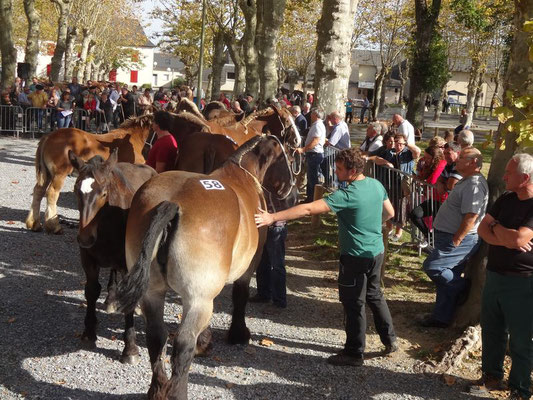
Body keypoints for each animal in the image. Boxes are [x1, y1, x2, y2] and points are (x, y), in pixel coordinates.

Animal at [25, 114, 154, 234]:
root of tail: (48, 136)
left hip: (47, 174)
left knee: (38, 191)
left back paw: (34, 224)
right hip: (59, 174)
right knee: (52, 193)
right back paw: (54, 226)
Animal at [67, 148, 157, 364]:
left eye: (104, 193)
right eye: (75, 190)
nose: (85, 237)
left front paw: (130, 348)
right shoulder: (88, 259)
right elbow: (91, 291)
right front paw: (89, 332)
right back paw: (110, 299)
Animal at [115, 135, 298, 400]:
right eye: (291, 158)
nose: (293, 196)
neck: (242, 176)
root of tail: (172, 203)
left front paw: (206, 340)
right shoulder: (246, 270)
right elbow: (240, 297)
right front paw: (238, 335)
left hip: (154, 293)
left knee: (156, 336)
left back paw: (157, 389)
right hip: (198, 298)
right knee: (183, 343)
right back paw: (177, 391)